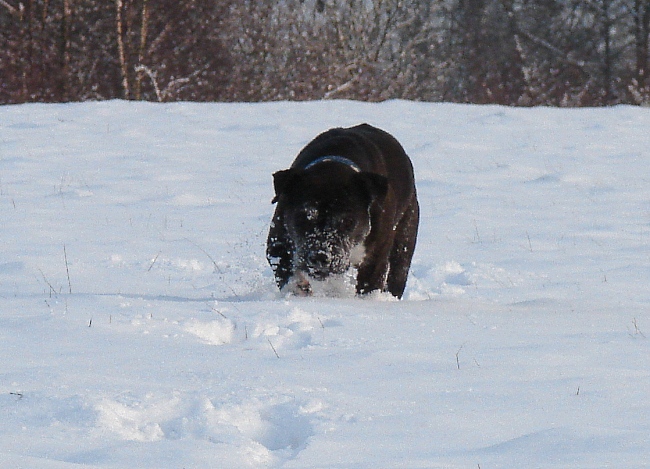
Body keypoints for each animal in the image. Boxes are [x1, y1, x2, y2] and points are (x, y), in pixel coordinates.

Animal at [266, 124, 418, 298]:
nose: (320, 256)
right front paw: (299, 289)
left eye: (348, 221)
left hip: (405, 236)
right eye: (303, 217)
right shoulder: (278, 241)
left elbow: (369, 285)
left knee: (398, 272)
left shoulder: (375, 258)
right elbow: (285, 270)